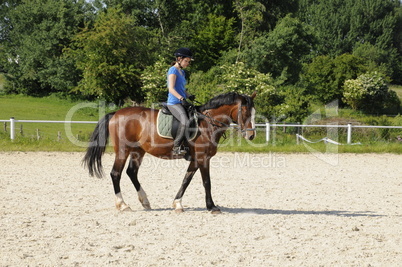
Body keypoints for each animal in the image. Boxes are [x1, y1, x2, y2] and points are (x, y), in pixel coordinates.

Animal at [83, 91, 256, 214]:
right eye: (245, 112)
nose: (251, 136)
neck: (207, 123)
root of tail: (116, 113)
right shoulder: (203, 158)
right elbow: (207, 182)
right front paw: (212, 207)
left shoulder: (195, 159)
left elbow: (186, 180)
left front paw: (177, 204)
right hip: (123, 150)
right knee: (115, 174)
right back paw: (123, 205)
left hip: (138, 151)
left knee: (131, 172)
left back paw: (145, 201)